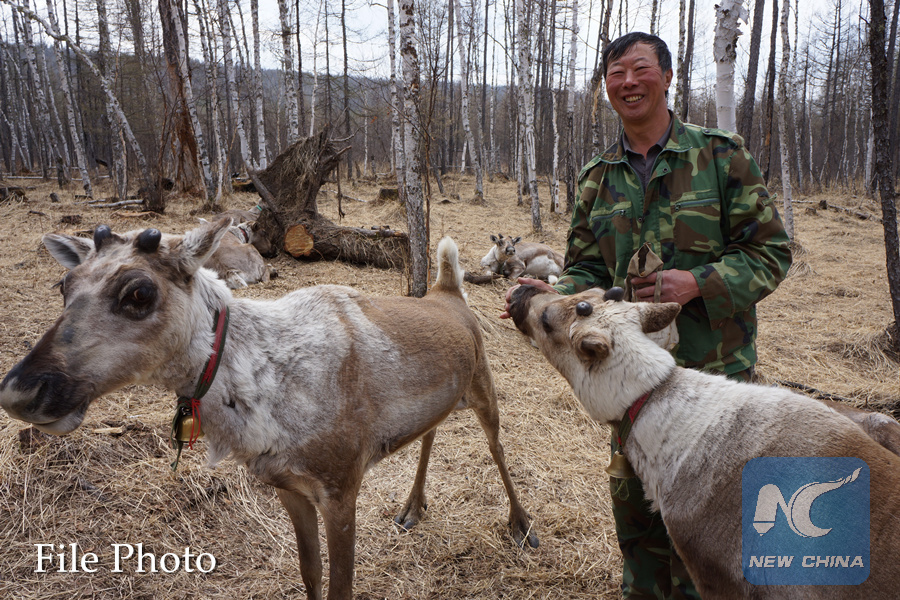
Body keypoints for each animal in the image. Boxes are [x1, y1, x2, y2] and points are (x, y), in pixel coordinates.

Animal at [0, 220, 538, 600]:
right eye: (64, 285)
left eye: (139, 292)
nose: (18, 391)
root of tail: (451, 290)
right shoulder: (287, 488)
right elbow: (309, 575)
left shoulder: (341, 486)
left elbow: (341, 587)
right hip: (445, 399)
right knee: (430, 431)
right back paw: (412, 506)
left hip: (484, 387)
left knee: (498, 449)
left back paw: (522, 525)